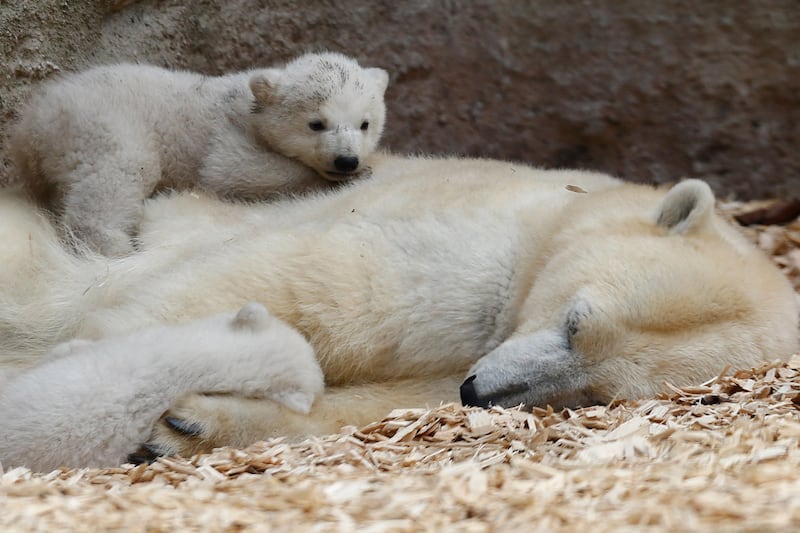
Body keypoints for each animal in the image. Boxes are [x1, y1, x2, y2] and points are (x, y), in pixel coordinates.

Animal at [0, 152, 796, 468]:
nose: (481, 392)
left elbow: (388, 398)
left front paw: (186, 423)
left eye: (594, 395)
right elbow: (311, 288)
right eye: (576, 321)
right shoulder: (480, 251)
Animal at [9, 53, 390, 256]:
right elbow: (229, 171)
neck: (249, 101)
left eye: (365, 124)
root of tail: (33, 122)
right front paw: (349, 178)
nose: (346, 161)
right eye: (316, 124)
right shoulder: (227, 131)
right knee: (118, 174)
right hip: (102, 124)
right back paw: (117, 247)